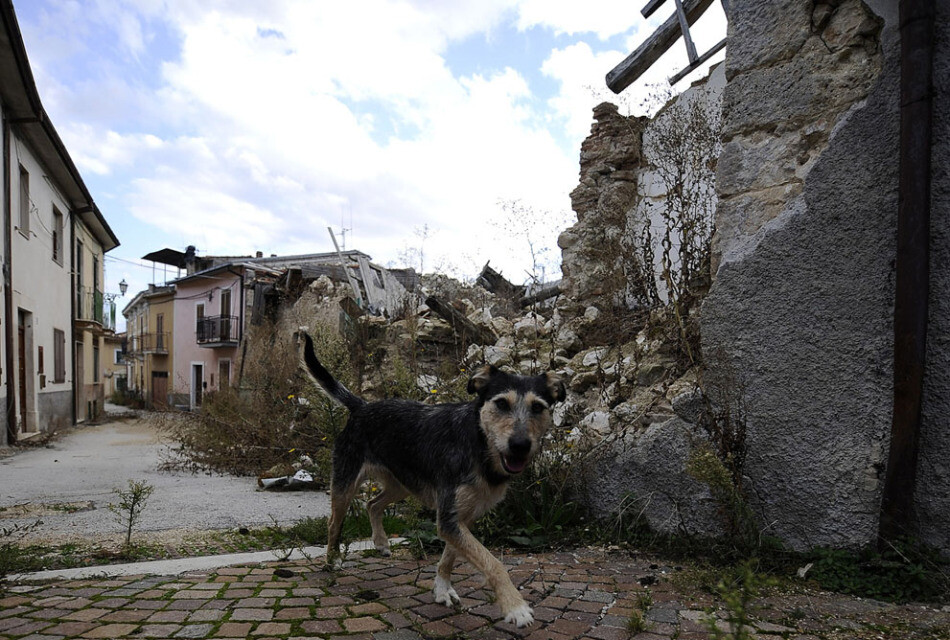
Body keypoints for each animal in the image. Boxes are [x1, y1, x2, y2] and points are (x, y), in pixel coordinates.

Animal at [298, 330, 564, 624]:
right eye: (501, 403)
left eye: (538, 408)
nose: (520, 445)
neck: (479, 444)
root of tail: (362, 407)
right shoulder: (450, 519)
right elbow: (492, 562)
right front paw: (514, 606)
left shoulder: (461, 516)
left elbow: (450, 556)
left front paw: (442, 589)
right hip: (346, 483)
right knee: (334, 523)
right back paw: (332, 560)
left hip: (401, 483)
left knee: (373, 503)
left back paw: (380, 542)